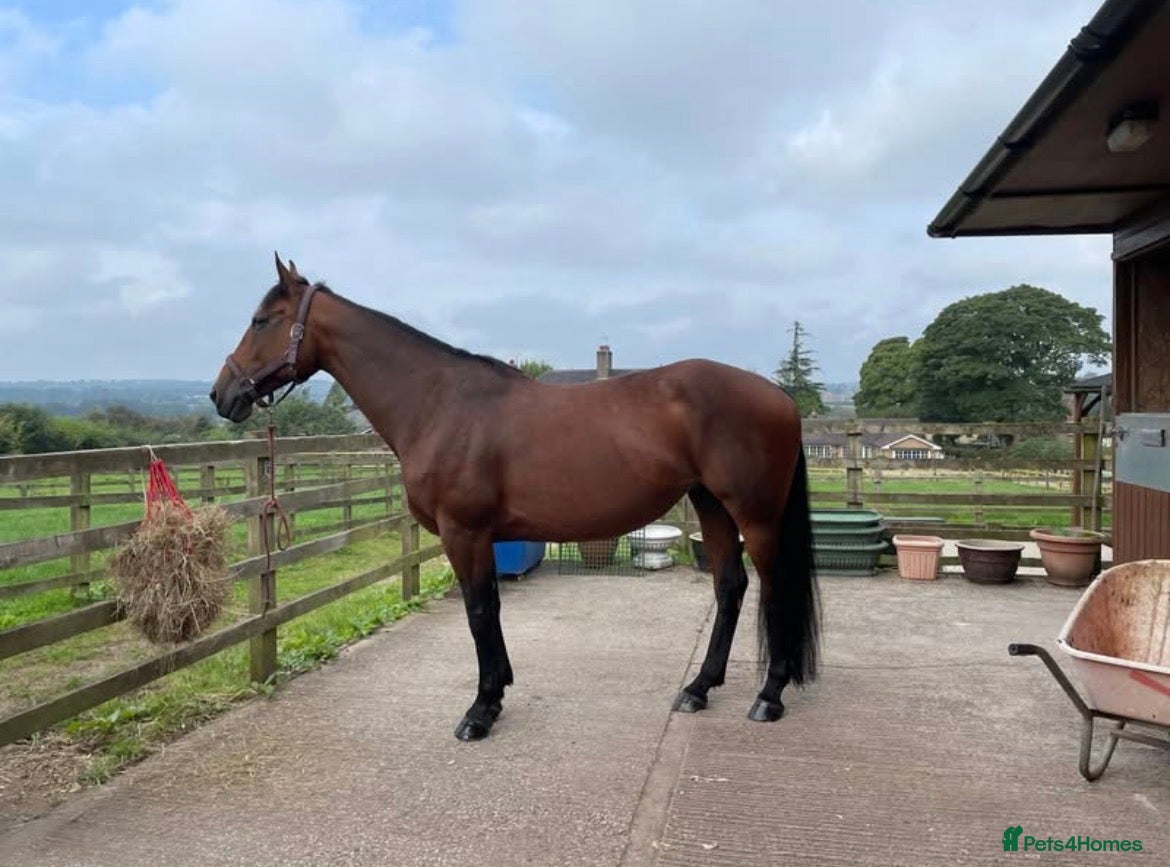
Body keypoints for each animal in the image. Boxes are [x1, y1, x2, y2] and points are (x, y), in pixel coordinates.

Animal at [210, 254, 820, 741]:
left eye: (262, 320)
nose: (222, 393)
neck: (437, 403)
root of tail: (778, 396)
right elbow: (490, 611)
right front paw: (497, 691)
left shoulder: (465, 532)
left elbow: (480, 611)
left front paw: (480, 711)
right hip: (712, 506)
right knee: (730, 588)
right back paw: (699, 688)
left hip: (755, 516)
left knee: (775, 591)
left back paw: (768, 697)